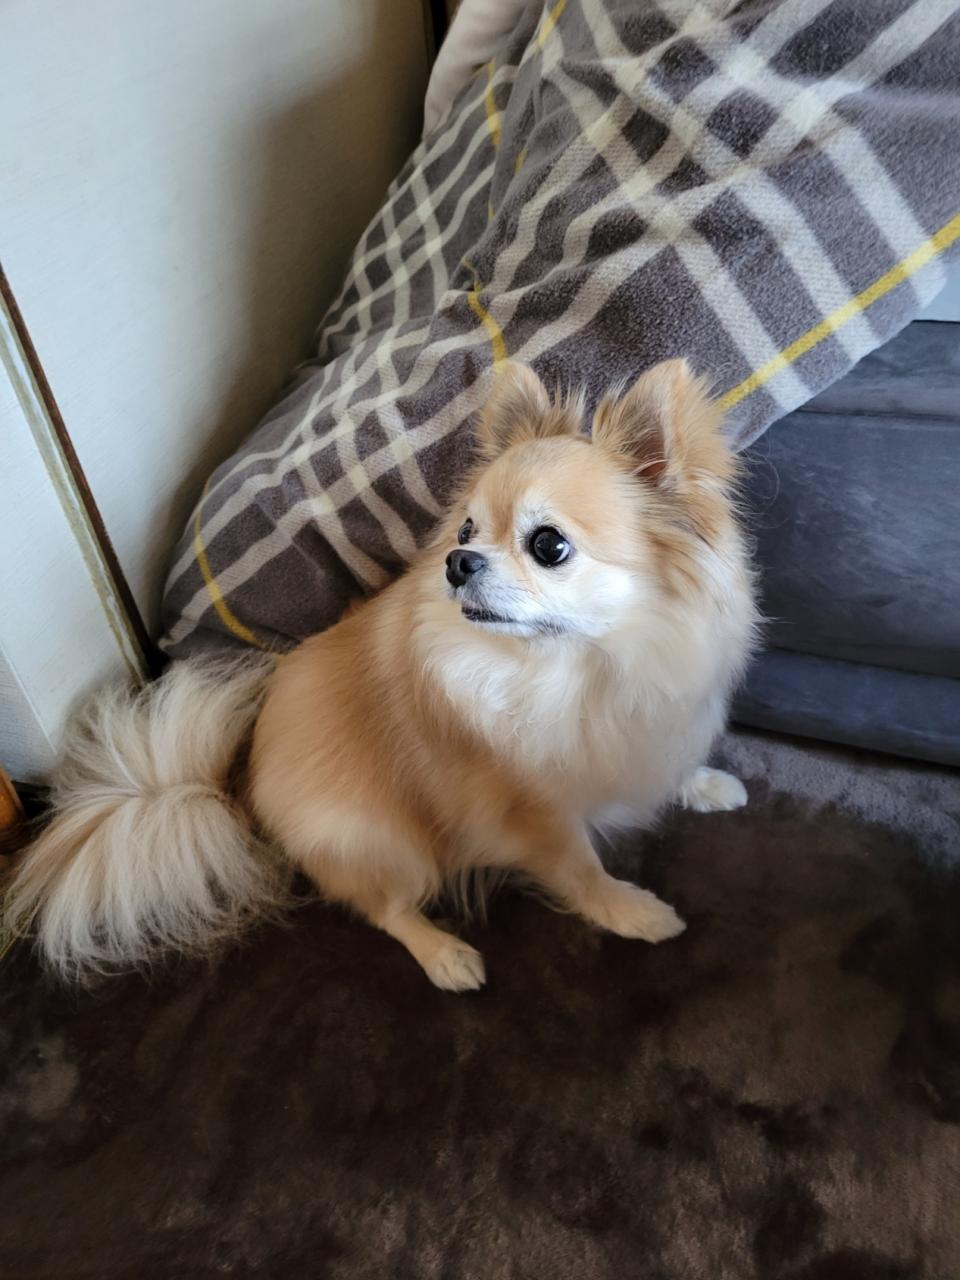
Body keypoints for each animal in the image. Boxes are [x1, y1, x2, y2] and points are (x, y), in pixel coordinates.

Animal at [5, 359, 757, 991]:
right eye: (465, 532)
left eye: (549, 545)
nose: (458, 562)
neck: (579, 666)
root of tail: (237, 789)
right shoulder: (532, 813)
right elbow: (582, 870)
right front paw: (632, 911)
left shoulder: (653, 719)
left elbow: (668, 761)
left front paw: (704, 784)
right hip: (388, 843)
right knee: (384, 908)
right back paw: (445, 956)